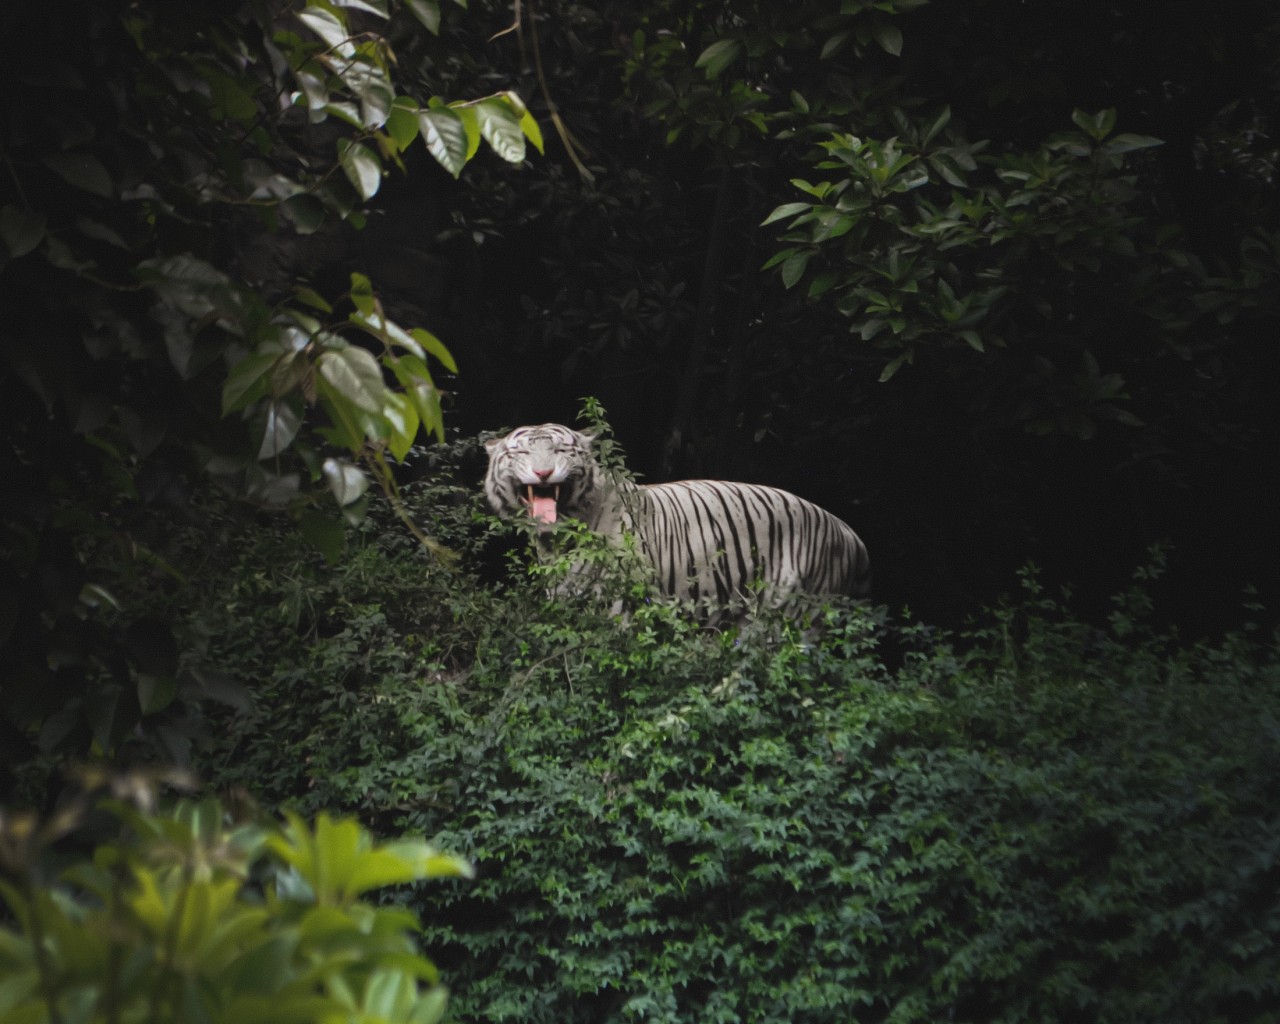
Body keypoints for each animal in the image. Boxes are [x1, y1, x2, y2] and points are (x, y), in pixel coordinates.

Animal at [483, 423, 870, 614]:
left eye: (560, 450)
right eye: (521, 452)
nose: (543, 472)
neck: (556, 539)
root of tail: (849, 532)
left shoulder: (620, 600)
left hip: (798, 608)